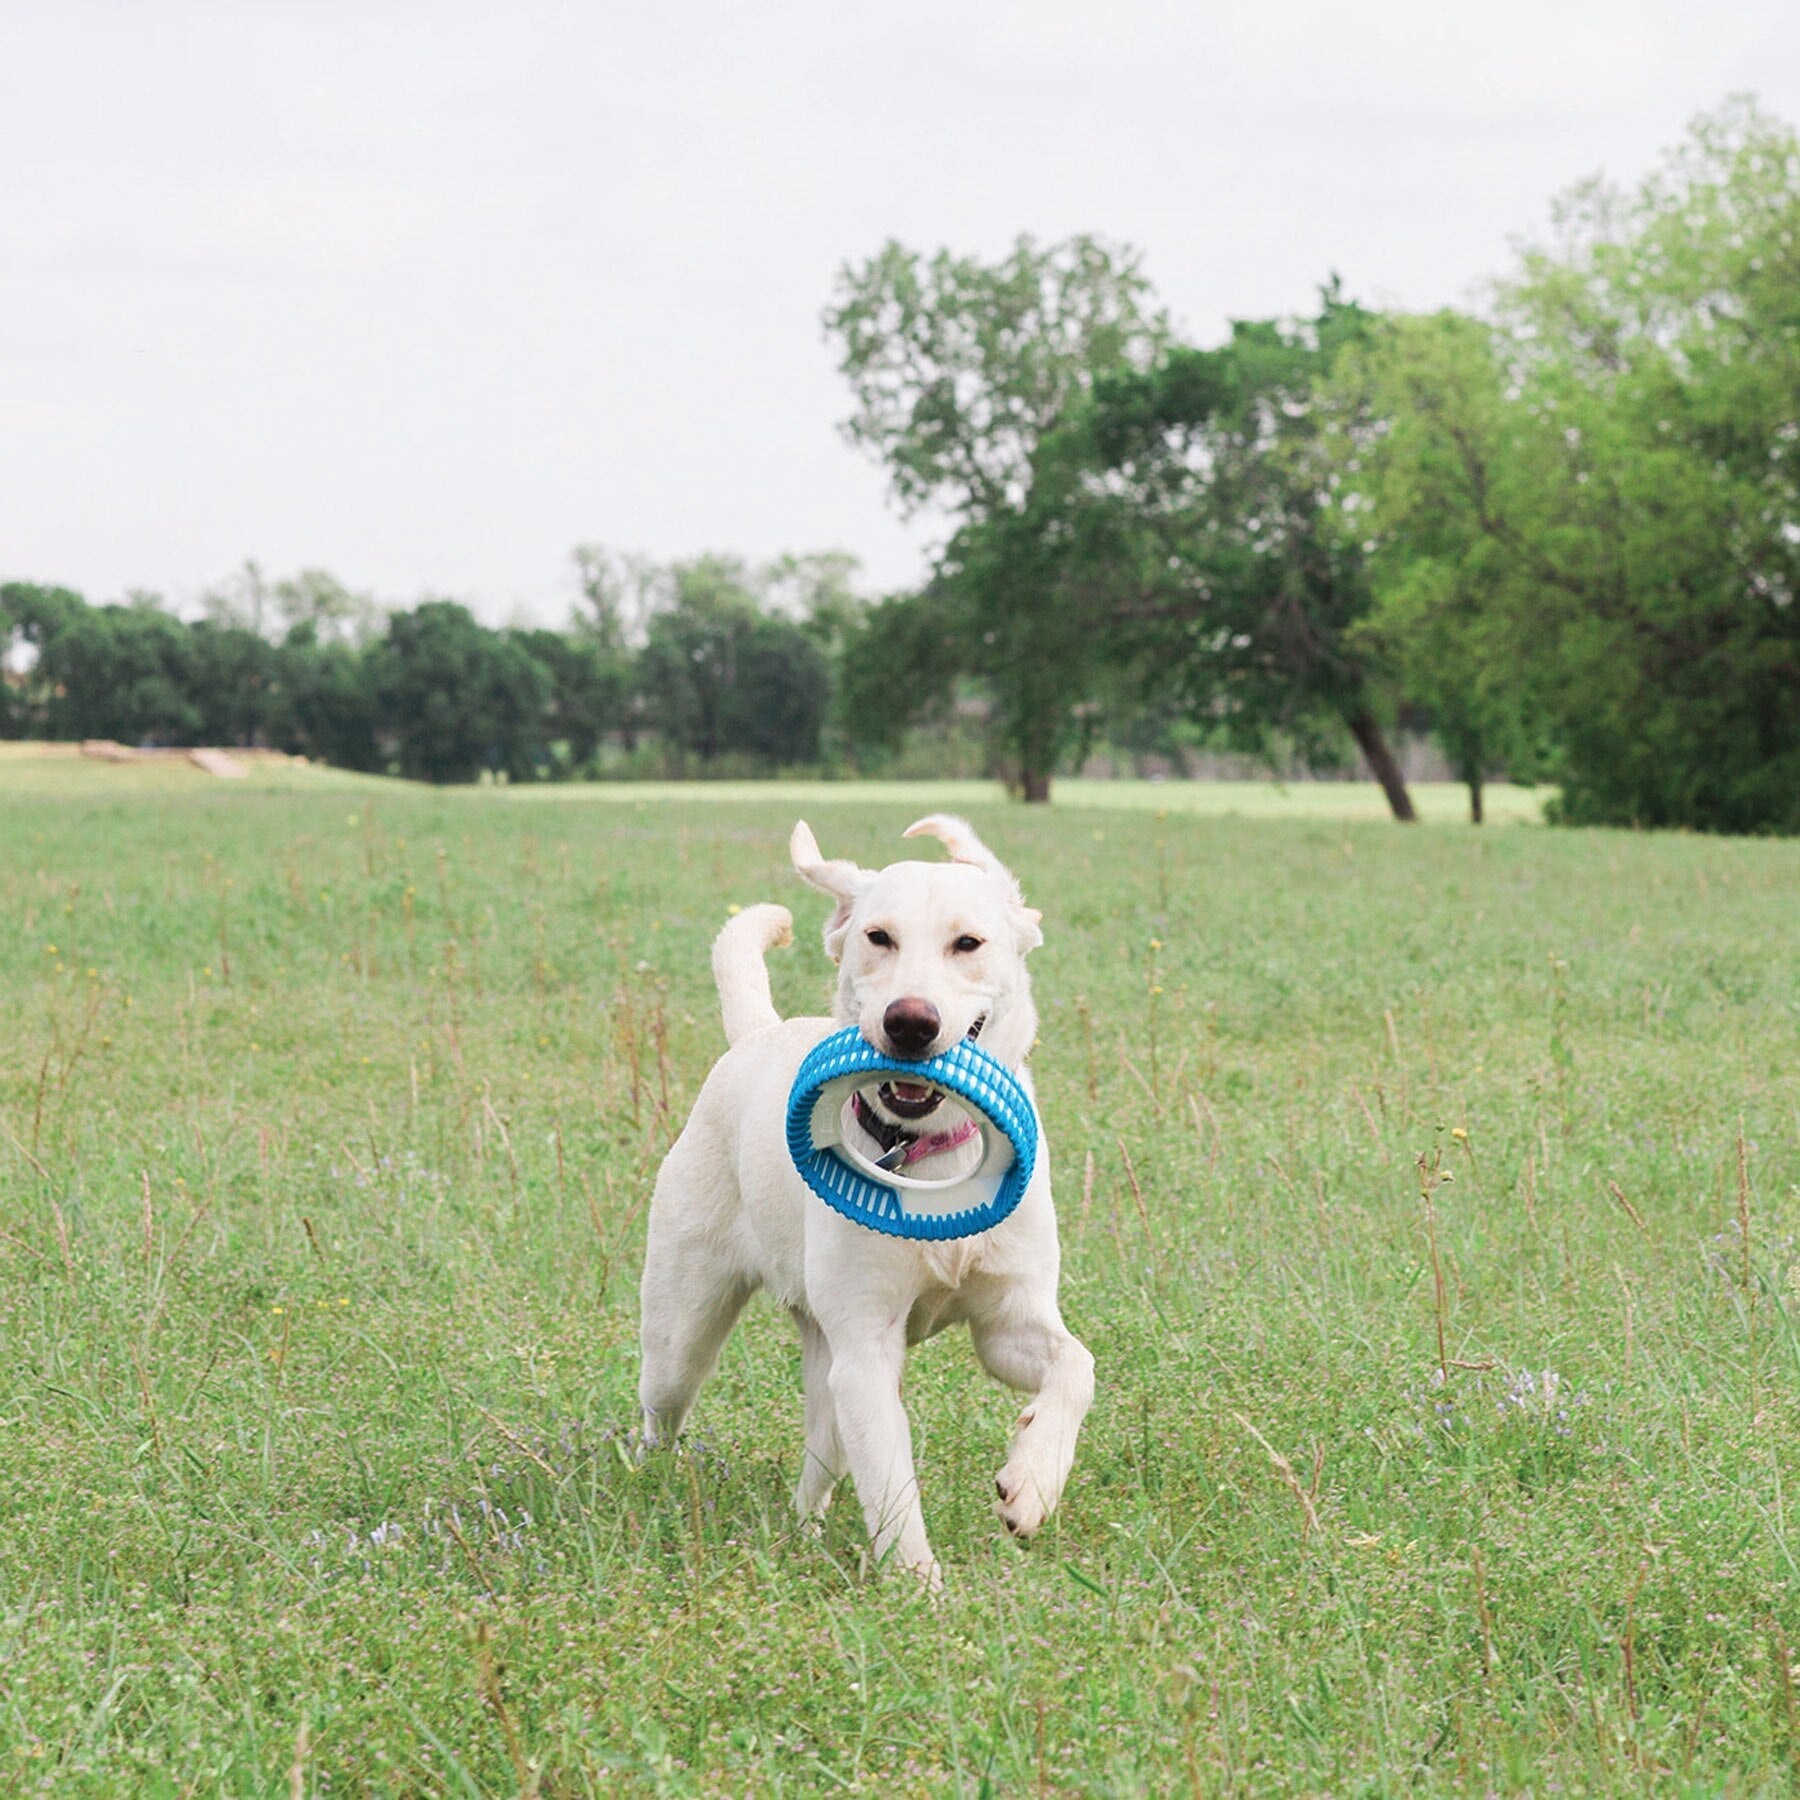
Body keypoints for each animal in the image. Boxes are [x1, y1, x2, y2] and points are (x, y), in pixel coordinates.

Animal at [640, 810, 1087, 1584]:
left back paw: (800, 1533)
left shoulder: (1008, 1320)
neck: (930, 1157)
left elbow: (1076, 1367)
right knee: (659, 1412)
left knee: (820, 1460)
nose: (910, 1021)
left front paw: (1031, 1482)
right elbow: (891, 1487)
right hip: (684, 1337)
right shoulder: (867, 1351)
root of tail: (758, 1034)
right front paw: (922, 1592)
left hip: (825, 1365)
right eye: (879, 937)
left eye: (968, 943)